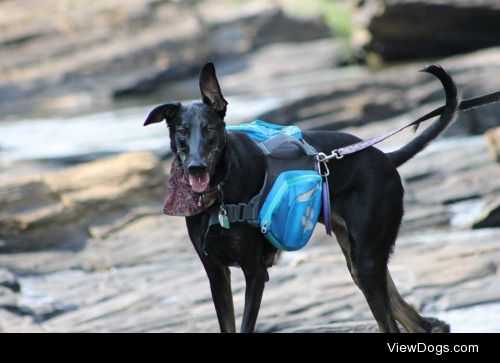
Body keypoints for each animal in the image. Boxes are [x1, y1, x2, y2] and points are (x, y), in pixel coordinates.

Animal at [143, 61, 458, 332]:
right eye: (182, 132)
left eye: (209, 130)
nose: (196, 167)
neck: (219, 191)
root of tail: (385, 157)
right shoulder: (216, 274)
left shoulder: (255, 272)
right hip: (359, 263)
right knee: (416, 322)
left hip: (366, 262)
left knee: (391, 324)